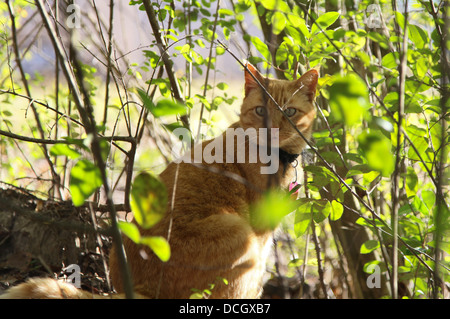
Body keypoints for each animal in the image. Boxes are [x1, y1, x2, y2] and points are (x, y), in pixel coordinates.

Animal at [0, 63, 316, 300]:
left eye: (289, 112)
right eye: (261, 110)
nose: (272, 130)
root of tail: (138, 289)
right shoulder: (261, 233)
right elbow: (256, 283)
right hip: (239, 232)